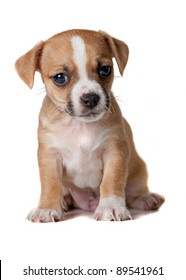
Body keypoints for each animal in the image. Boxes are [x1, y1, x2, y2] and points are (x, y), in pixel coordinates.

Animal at [15, 29, 165, 222]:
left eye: (105, 70)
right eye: (60, 78)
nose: (91, 98)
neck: (80, 126)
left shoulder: (114, 152)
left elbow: (111, 180)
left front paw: (111, 207)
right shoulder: (50, 156)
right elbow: (50, 183)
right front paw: (47, 208)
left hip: (138, 171)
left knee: (133, 193)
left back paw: (146, 198)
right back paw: (63, 202)